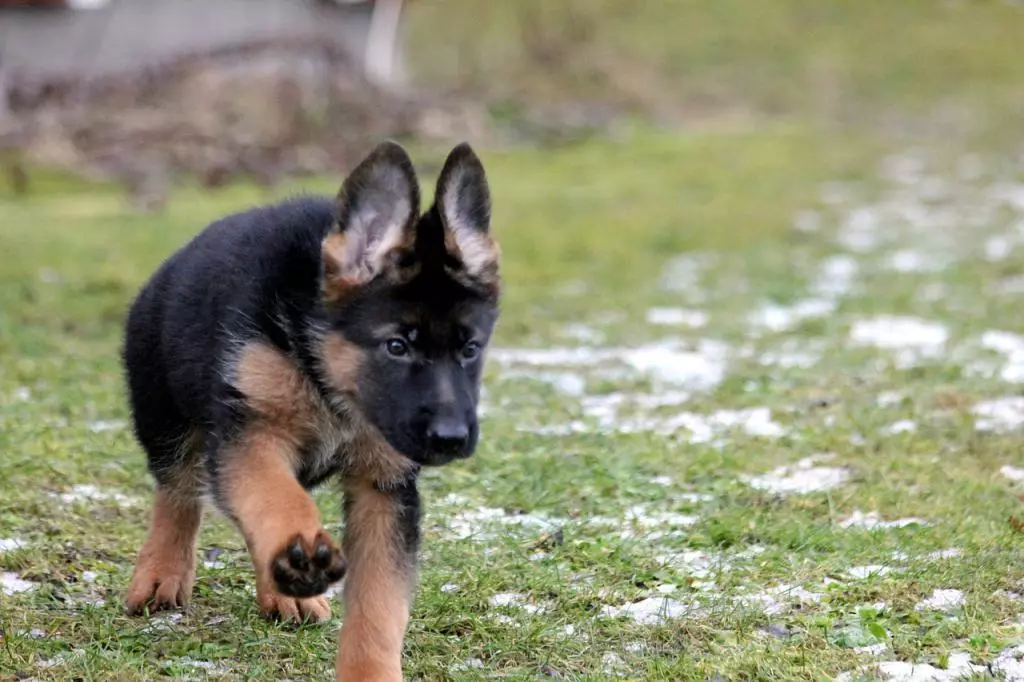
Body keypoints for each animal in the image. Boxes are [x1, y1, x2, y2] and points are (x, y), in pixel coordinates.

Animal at [119, 140, 499, 675]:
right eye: (397, 346)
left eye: (470, 349)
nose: (451, 439)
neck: (325, 375)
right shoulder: (249, 435)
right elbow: (277, 497)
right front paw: (297, 547)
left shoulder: (384, 488)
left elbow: (379, 606)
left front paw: (370, 673)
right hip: (165, 419)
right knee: (177, 494)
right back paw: (162, 574)